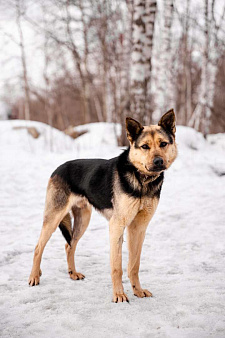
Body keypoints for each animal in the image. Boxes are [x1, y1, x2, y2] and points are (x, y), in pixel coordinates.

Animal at [28, 109, 178, 304]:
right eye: (145, 146)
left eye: (163, 144)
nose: (159, 161)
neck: (142, 181)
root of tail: (58, 169)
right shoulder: (117, 226)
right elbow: (117, 267)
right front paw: (119, 295)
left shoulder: (138, 228)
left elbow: (134, 264)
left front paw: (137, 291)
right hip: (54, 218)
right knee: (38, 247)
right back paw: (34, 277)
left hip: (83, 220)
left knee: (69, 245)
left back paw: (73, 273)